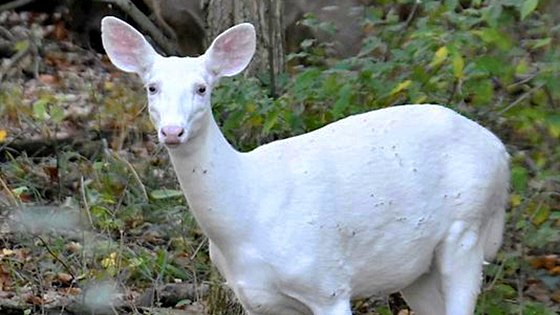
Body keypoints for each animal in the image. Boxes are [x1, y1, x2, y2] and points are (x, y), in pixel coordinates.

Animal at [99, 17, 508, 315]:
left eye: (202, 88)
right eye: (152, 87)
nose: (172, 131)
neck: (245, 218)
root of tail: (500, 151)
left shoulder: (327, 283)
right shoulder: (258, 300)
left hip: (467, 231)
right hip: (415, 267)